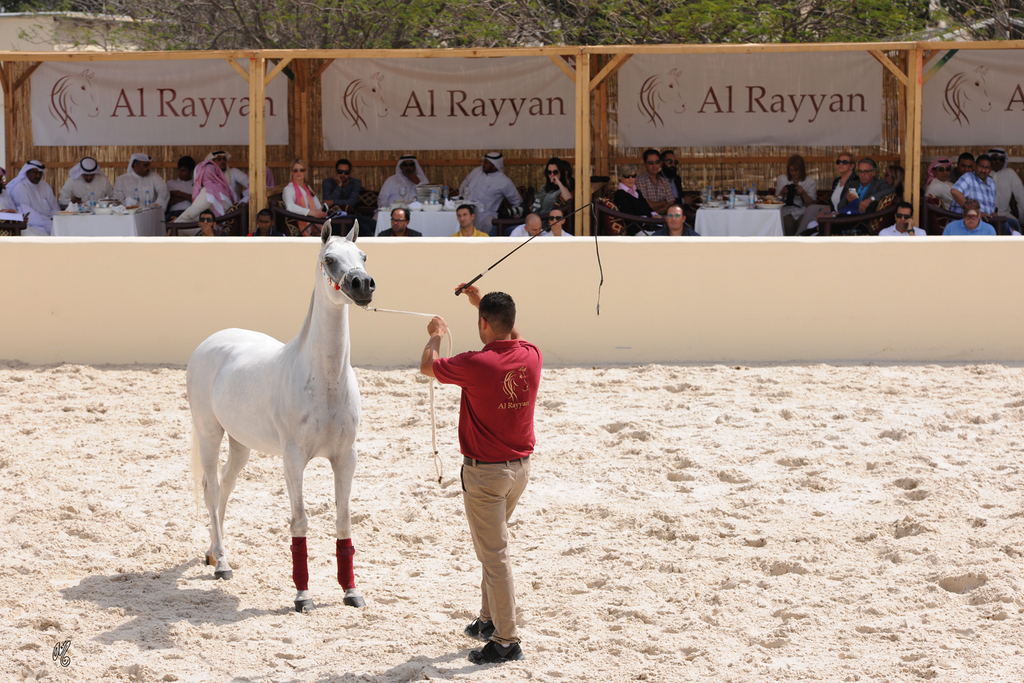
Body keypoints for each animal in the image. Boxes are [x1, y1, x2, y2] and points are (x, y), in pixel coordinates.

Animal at [187, 220, 375, 613]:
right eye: (329, 259)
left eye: (363, 255)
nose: (362, 284)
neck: (324, 381)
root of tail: (210, 343)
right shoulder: (293, 459)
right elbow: (299, 521)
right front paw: (303, 597)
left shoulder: (346, 457)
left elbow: (343, 521)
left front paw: (351, 591)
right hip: (210, 433)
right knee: (212, 489)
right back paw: (221, 563)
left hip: (240, 444)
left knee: (225, 486)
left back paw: (213, 553)